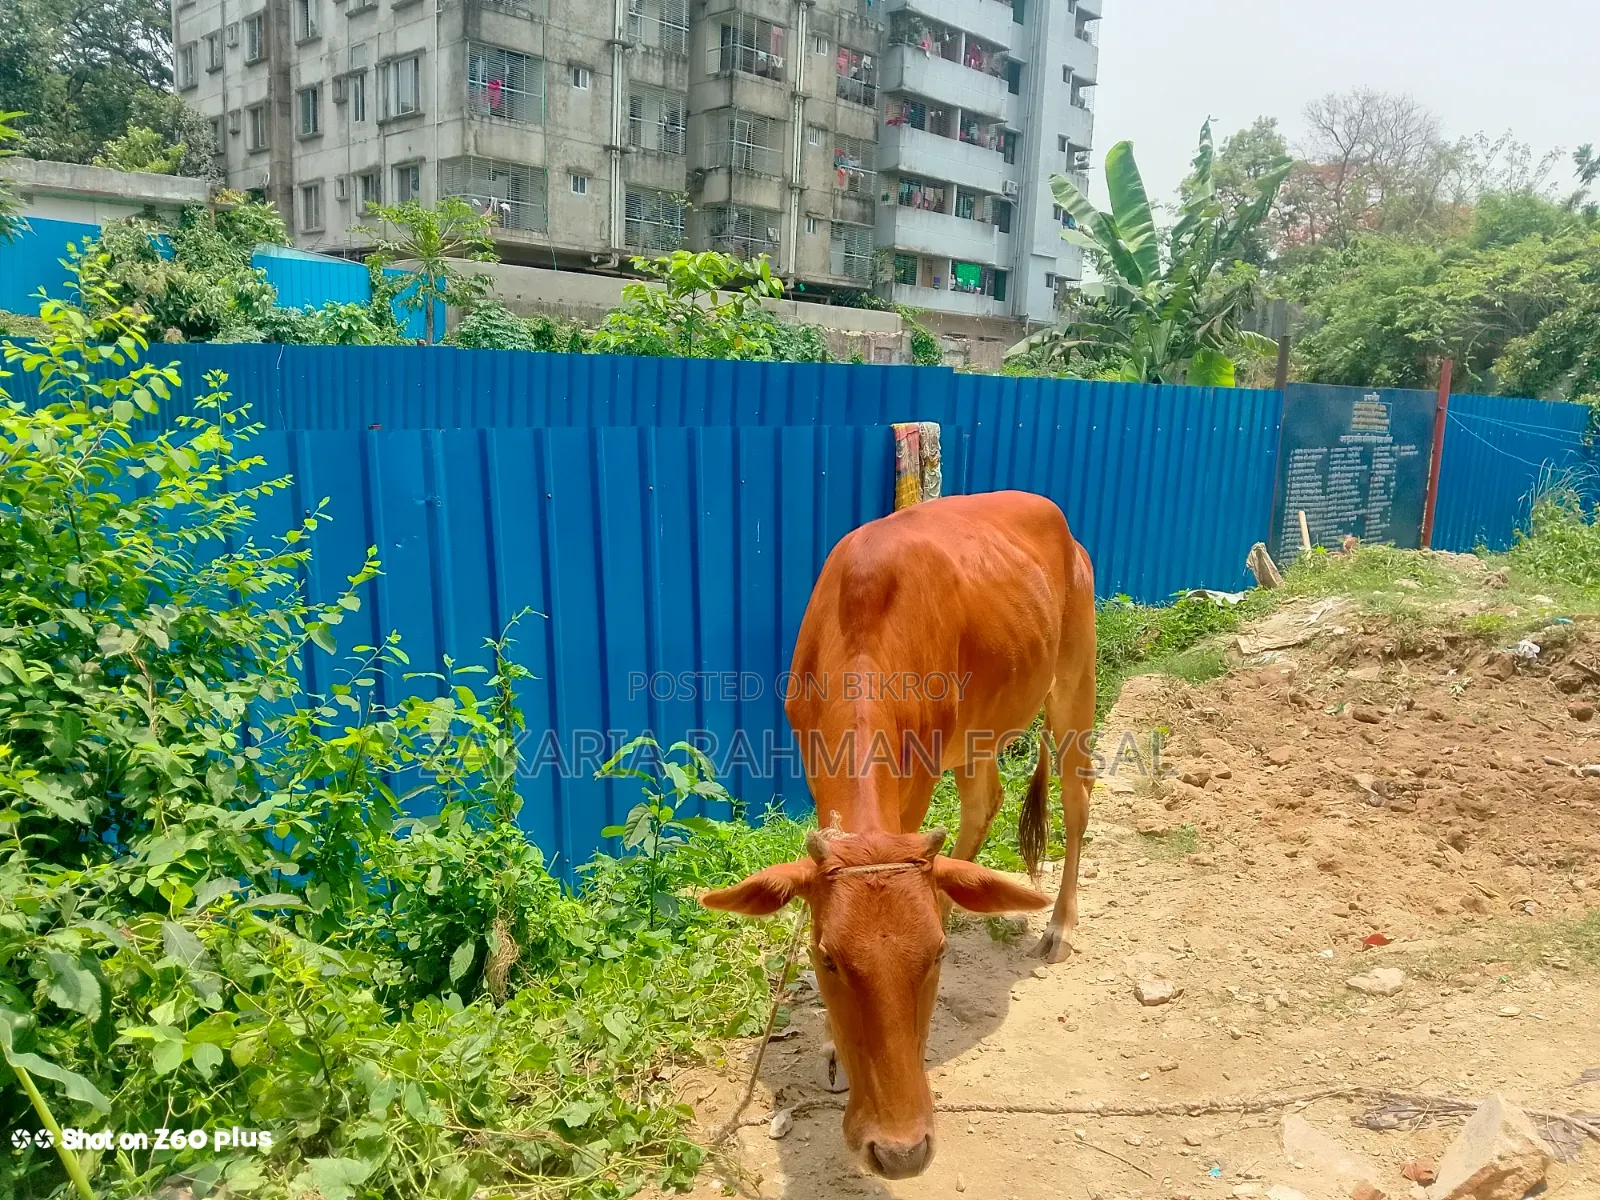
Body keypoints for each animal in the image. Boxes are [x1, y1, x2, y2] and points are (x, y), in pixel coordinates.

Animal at [702, 490, 1097, 1180]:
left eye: (935, 956)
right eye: (826, 958)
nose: (900, 1151)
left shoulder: (917, 778)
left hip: (1072, 681)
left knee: (1076, 801)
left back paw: (1059, 927)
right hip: (980, 730)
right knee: (985, 803)